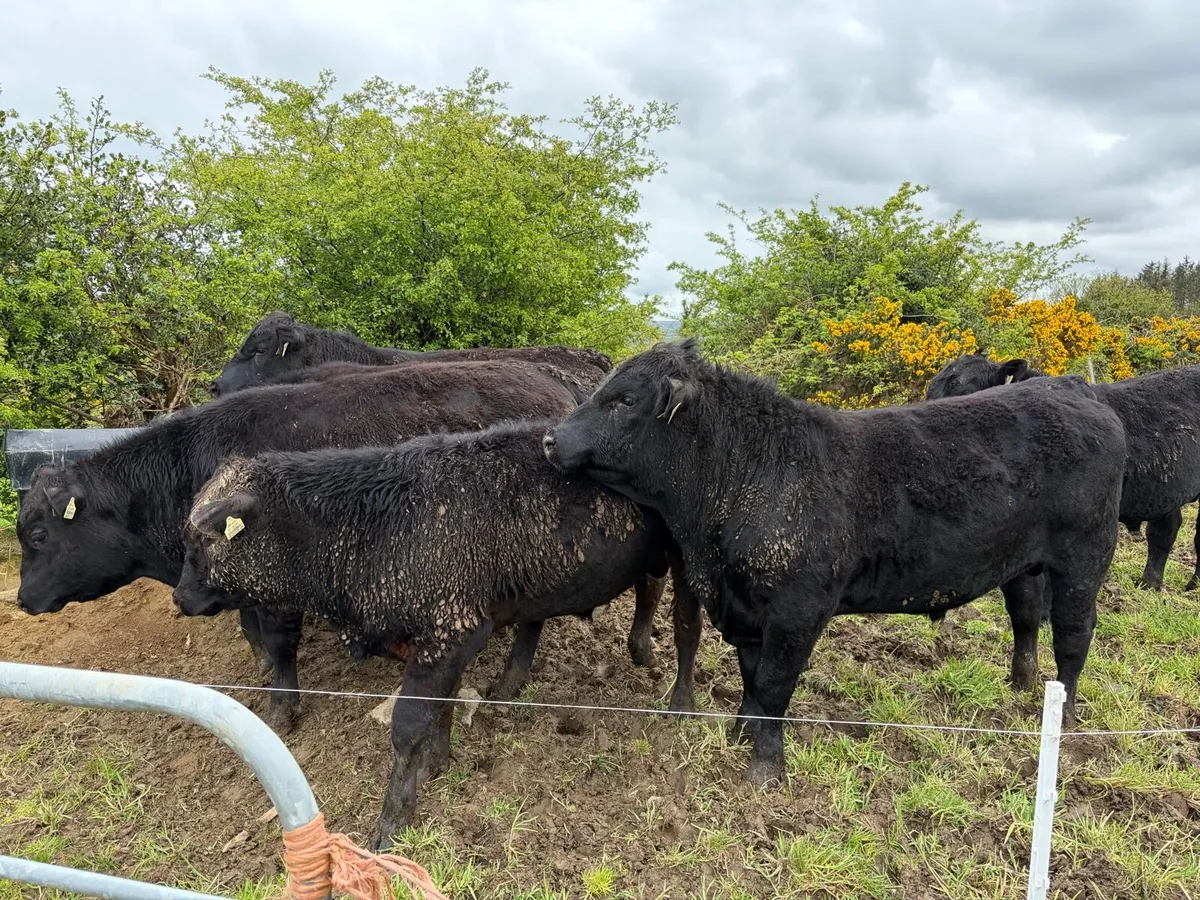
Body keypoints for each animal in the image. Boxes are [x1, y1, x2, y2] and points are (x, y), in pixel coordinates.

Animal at [172, 421, 702, 848]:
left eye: (203, 539)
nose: (180, 599)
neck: (378, 526)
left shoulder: (451, 633)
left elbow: (408, 726)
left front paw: (393, 823)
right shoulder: (443, 641)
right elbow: (441, 706)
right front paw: (438, 763)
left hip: (689, 559)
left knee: (686, 625)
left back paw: (680, 701)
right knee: (636, 590)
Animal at [542, 339, 1126, 787]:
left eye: (625, 399)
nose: (550, 438)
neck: (747, 474)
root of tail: (1069, 388)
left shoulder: (797, 611)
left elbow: (774, 684)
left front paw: (765, 768)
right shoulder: (745, 609)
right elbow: (752, 678)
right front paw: (739, 732)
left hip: (1084, 560)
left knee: (1074, 636)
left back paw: (1065, 716)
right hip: (1024, 563)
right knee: (1026, 617)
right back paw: (1021, 685)